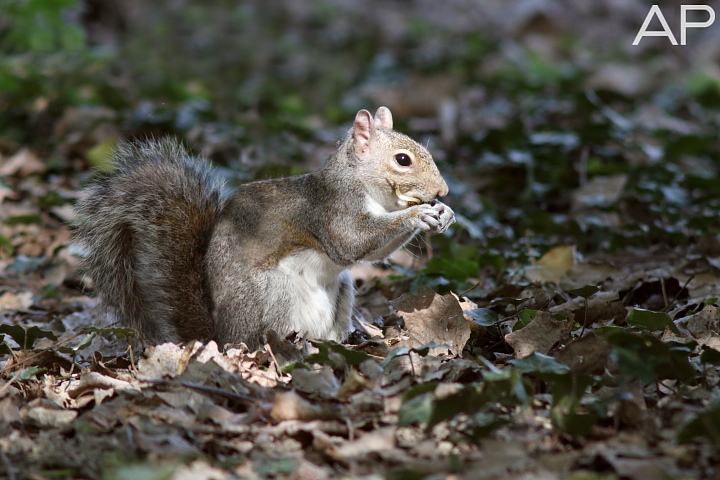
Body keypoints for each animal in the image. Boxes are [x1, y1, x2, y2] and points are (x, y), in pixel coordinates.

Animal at [73, 107, 455, 349]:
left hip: (342, 288)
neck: (362, 186)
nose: (442, 191)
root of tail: (221, 336)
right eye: (402, 160)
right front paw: (418, 215)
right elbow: (353, 243)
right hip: (273, 293)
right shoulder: (331, 212)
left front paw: (444, 213)